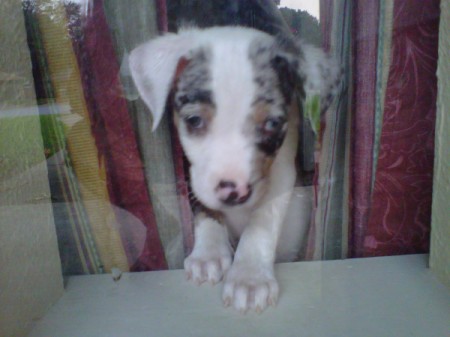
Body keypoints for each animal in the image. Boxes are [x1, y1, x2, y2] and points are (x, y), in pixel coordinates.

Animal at [128, 26, 340, 312]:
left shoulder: (283, 172)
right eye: (194, 120)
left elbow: (262, 222)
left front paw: (249, 277)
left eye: (272, 123)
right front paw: (208, 253)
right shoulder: (191, 173)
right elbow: (206, 209)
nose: (233, 193)